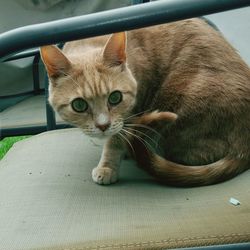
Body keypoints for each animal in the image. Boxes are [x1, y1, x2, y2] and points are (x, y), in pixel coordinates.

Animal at [39, 18, 250, 186]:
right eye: (79, 105)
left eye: (115, 97)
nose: (103, 125)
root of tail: (245, 143)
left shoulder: (133, 111)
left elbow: (116, 139)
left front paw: (107, 167)